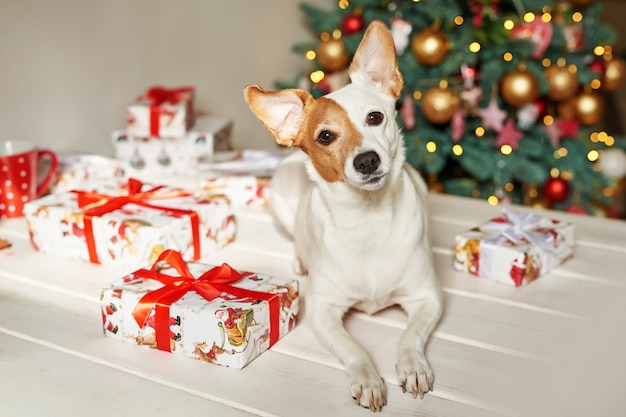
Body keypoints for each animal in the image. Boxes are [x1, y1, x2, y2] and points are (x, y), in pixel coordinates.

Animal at [241, 19, 442, 410]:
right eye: (325, 137)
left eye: (375, 117)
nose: (367, 161)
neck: (369, 218)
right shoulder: (322, 312)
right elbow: (354, 349)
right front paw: (368, 379)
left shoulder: (428, 298)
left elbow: (410, 336)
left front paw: (413, 366)